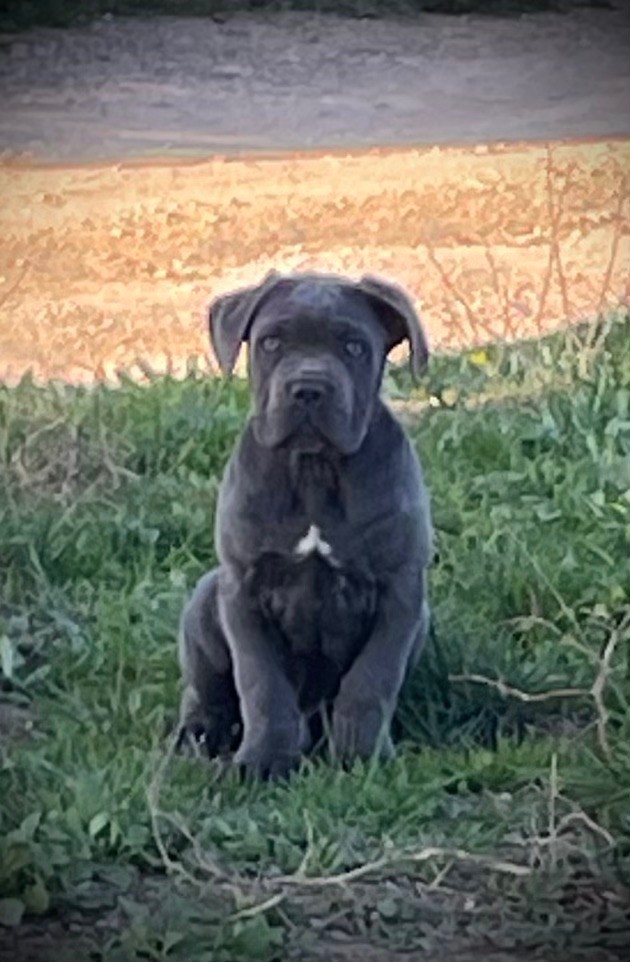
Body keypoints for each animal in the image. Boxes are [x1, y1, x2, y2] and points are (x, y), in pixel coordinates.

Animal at [178, 266, 434, 776]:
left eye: (354, 346)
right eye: (272, 342)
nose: (309, 388)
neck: (314, 470)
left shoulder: (400, 592)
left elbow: (371, 679)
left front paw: (361, 756)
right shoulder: (243, 592)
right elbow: (261, 682)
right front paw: (264, 760)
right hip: (205, 598)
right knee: (205, 693)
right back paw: (200, 734)